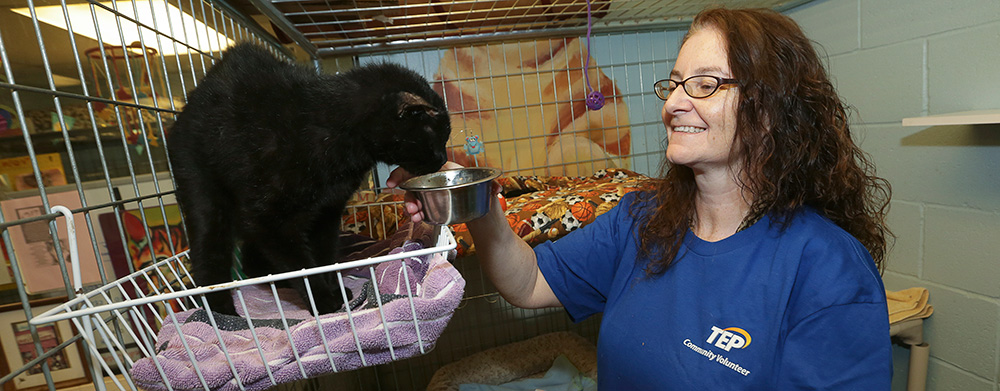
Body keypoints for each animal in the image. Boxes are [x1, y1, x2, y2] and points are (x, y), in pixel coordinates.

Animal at [170, 43, 452, 316]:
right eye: (436, 134)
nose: (443, 158)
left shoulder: (327, 213)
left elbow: (323, 258)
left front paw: (334, 290)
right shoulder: (268, 220)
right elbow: (302, 267)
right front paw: (323, 300)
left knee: (250, 256)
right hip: (204, 194)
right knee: (209, 256)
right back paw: (222, 313)